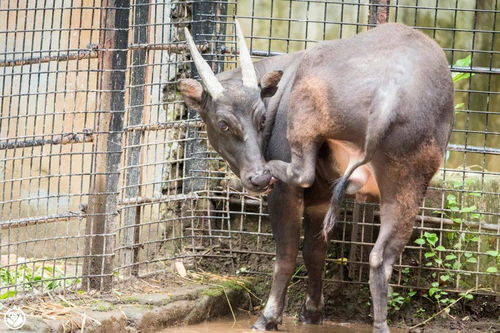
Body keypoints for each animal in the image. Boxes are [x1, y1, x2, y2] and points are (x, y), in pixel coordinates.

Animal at [178, 21, 456, 332]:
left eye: (262, 118)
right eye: (223, 123)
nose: (258, 178)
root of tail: (390, 90)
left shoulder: (285, 195)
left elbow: (288, 255)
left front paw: (270, 317)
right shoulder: (321, 198)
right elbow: (315, 252)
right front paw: (312, 311)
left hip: (307, 115)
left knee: (301, 174)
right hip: (408, 183)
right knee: (381, 258)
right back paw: (381, 324)